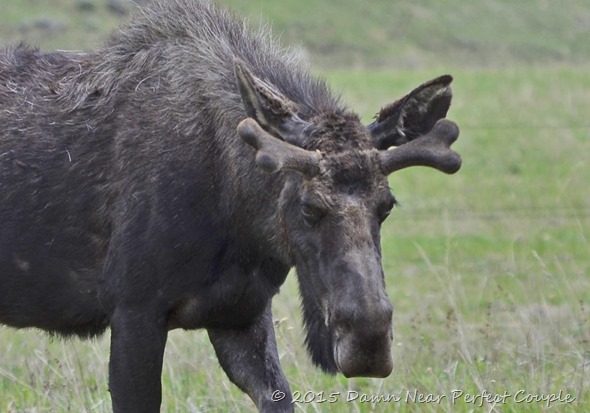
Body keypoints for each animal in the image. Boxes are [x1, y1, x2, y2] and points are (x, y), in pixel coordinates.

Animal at [0, 0, 462, 410]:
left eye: (386, 205)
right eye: (309, 207)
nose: (369, 340)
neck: (240, 217)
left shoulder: (240, 313)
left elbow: (280, 397)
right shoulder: (132, 307)